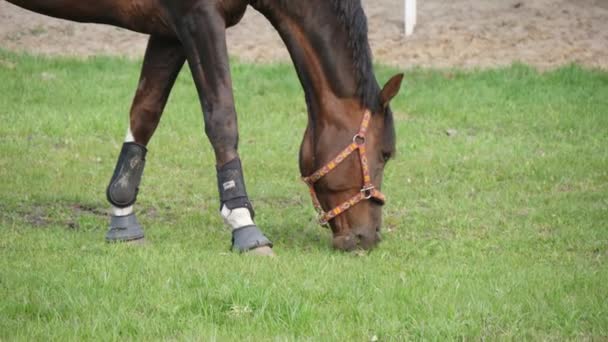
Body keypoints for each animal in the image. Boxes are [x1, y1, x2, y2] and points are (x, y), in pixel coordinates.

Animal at [5, 0, 404, 254]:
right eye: (386, 153)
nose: (369, 237)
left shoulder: (169, 29)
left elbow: (145, 114)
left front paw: (122, 219)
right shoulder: (198, 18)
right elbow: (222, 118)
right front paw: (243, 224)